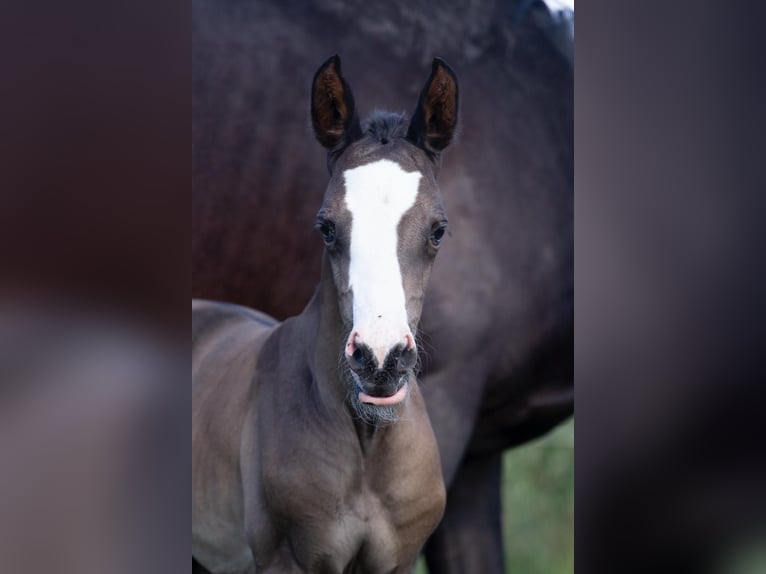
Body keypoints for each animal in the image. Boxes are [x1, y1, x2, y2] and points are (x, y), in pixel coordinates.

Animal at [195, 55, 460, 574]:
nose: (381, 360)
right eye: (327, 227)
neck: (368, 444)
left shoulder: (396, 562)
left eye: (438, 230)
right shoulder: (287, 560)